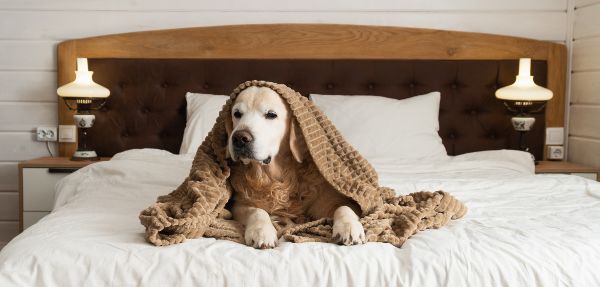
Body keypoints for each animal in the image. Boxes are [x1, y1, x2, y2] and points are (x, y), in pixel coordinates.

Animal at [226, 86, 364, 250]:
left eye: (271, 114)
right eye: (237, 114)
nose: (239, 138)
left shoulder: (333, 199)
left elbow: (343, 207)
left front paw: (349, 227)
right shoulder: (238, 203)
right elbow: (256, 210)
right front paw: (262, 232)